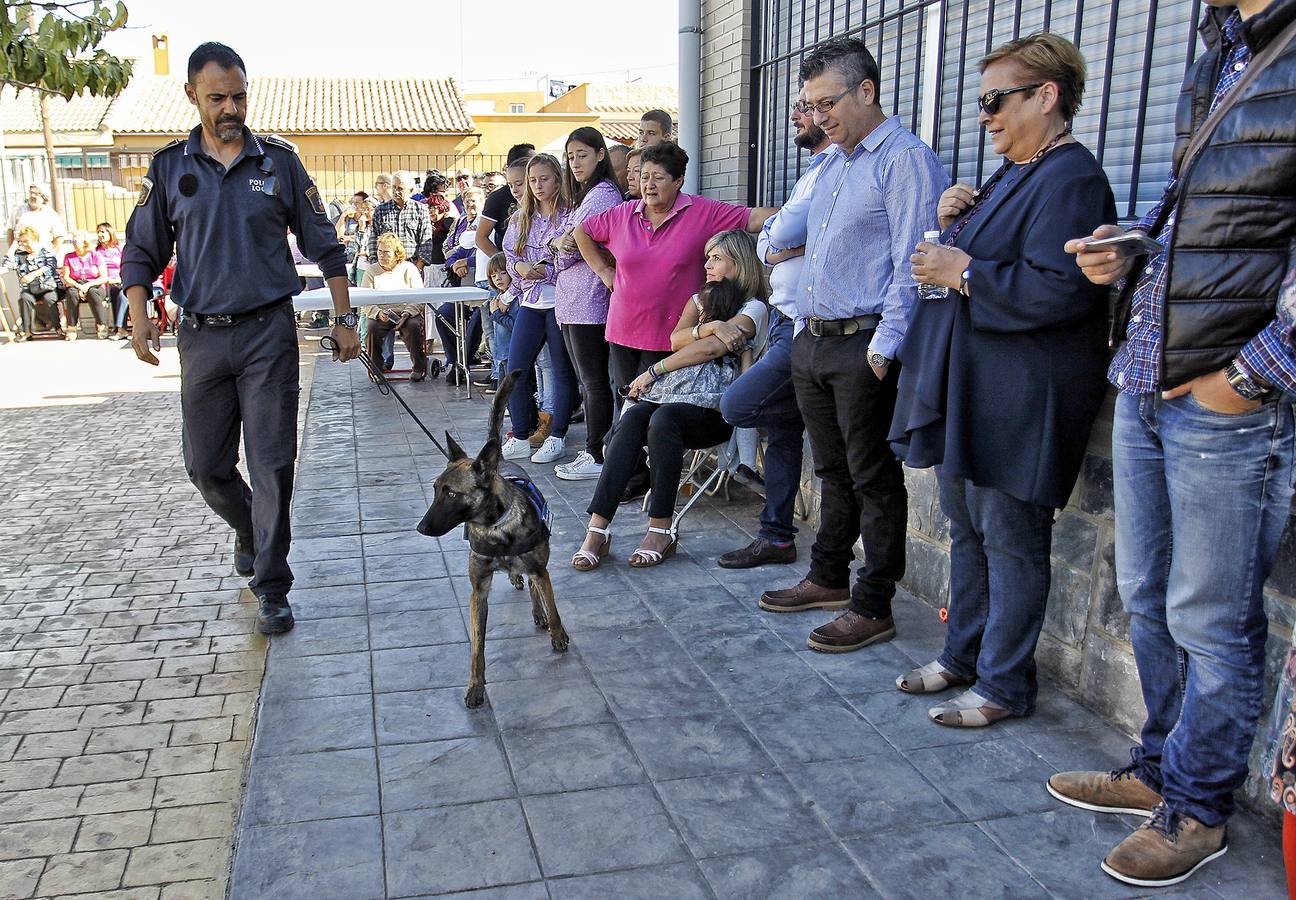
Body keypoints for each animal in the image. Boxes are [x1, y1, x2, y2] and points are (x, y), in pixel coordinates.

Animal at [414, 370, 567, 710]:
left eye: (451, 494)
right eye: (435, 489)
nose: (421, 528)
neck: (495, 529)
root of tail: (502, 462)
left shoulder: (541, 569)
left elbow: (551, 604)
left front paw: (558, 634)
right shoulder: (478, 592)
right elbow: (477, 646)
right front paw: (475, 686)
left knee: (536, 587)